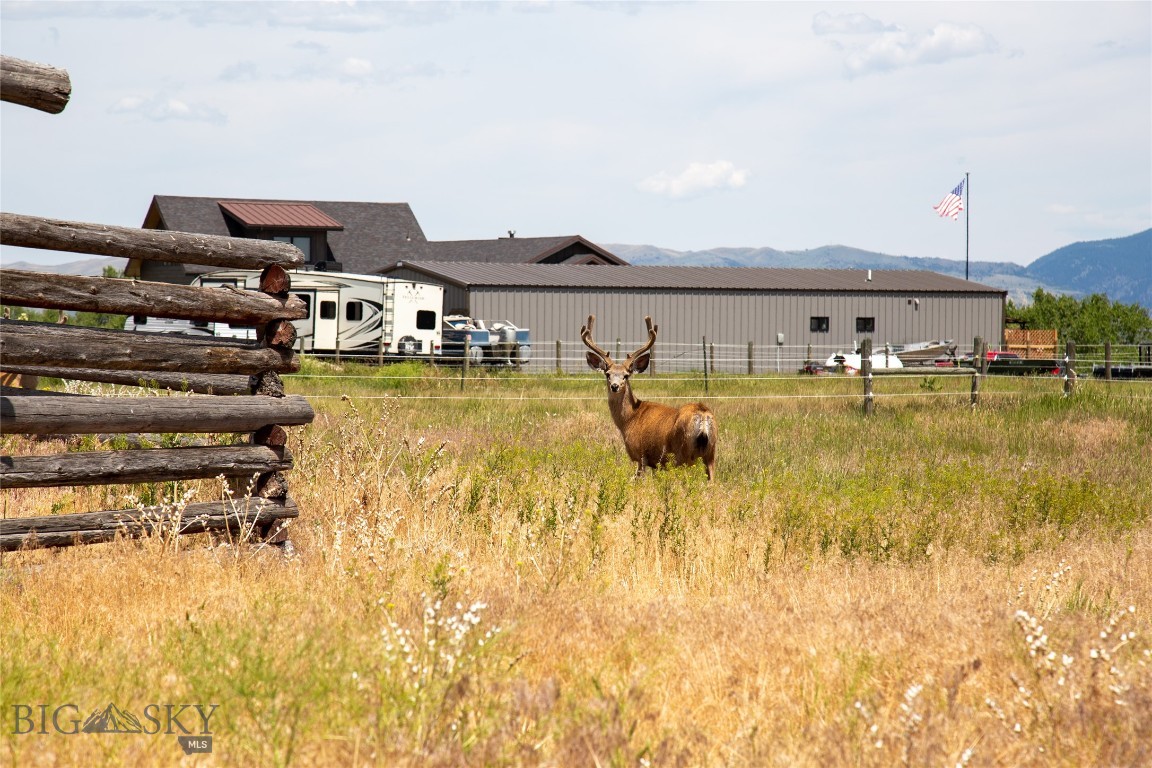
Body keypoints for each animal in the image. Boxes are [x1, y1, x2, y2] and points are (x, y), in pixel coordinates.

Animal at [581, 315, 717, 481]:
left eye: (626, 375)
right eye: (608, 374)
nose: (615, 386)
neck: (630, 418)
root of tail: (703, 415)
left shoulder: (641, 454)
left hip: (682, 454)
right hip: (711, 454)